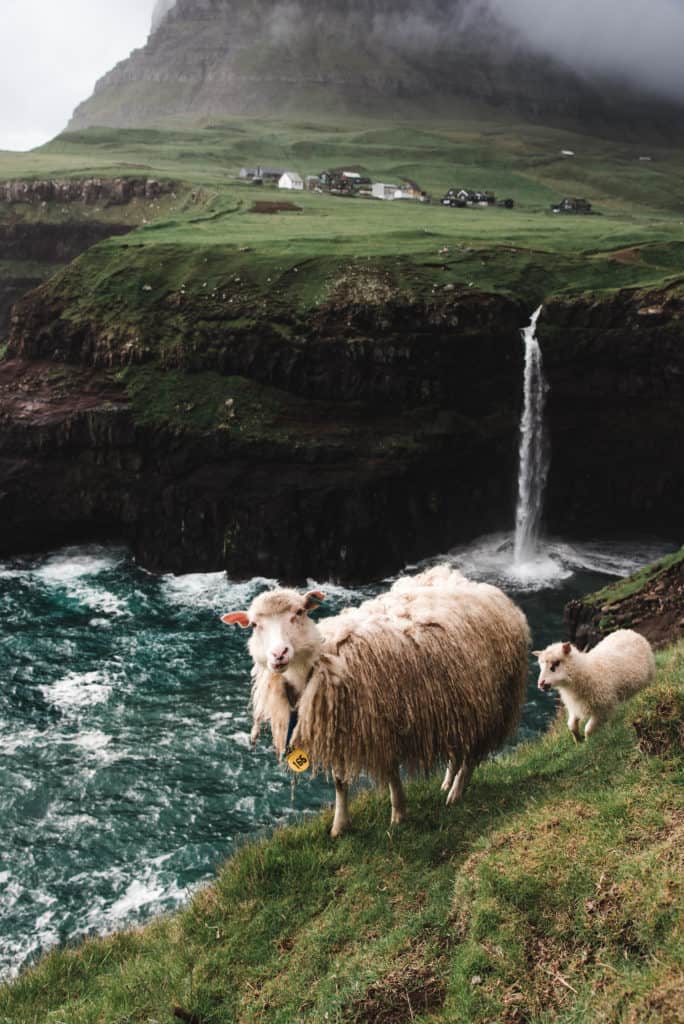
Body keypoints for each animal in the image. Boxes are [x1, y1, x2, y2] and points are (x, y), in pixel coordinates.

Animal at [222, 565, 532, 835]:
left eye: (298, 612)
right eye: (254, 625)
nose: (279, 654)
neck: (322, 664)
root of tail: (485, 587)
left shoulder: (383, 725)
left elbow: (392, 773)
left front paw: (398, 815)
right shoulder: (339, 730)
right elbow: (339, 781)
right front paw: (340, 826)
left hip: (489, 700)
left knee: (471, 752)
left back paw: (456, 793)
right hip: (457, 702)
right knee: (458, 747)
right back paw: (447, 783)